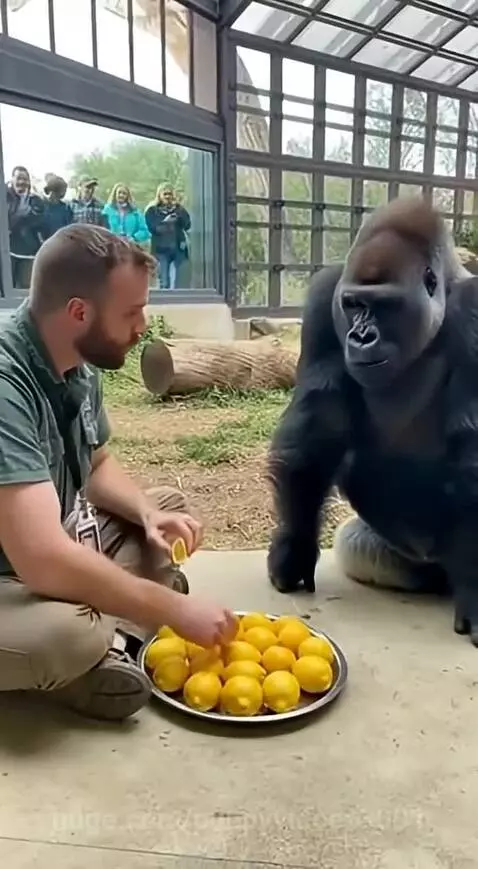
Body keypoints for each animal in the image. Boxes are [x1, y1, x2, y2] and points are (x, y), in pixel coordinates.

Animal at [266, 196, 478, 646]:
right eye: (354, 305)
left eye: (385, 305)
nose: (362, 337)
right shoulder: (325, 297)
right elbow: (316, 431)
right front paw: (294, 547)